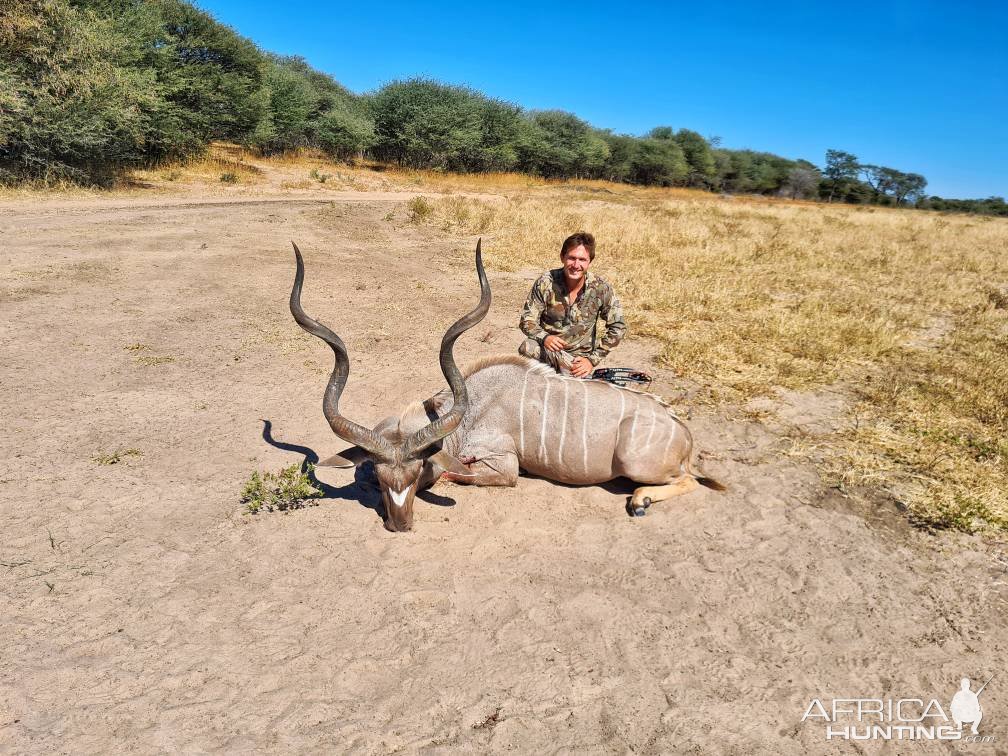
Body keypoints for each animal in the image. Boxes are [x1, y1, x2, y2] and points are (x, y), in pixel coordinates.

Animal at [288, 242, 721, 532]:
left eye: (417, 472)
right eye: (381, 478)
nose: (400, 524)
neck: (474, 408)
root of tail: (684, 436)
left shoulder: (504, 465)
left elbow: (455, 475)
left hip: (636, 463)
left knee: (688, 481)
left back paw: (640, 499)